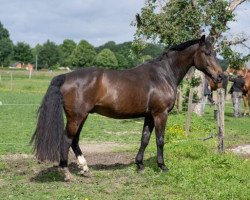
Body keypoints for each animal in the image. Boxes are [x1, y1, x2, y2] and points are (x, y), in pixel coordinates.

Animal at [30, 34, 223, 181]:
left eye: (215, 52)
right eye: (207, 53)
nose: (221, 76)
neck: (163, 74)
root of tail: (65, 76)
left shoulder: (149, 115)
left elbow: (144, 139)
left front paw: (140, 165)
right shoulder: (160, 114)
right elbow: (160, 140)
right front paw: (162, 166)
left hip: (82, 116)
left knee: (74, 140)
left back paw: (85, 168)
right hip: (76, 117)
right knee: (66, 139)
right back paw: (66, 172)